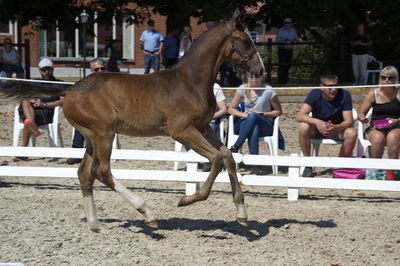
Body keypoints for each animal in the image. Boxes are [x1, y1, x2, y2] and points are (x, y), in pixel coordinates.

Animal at [1, 9, 264, 232]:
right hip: (104, 134)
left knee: (85, 174)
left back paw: (96, 224)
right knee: (101, 171)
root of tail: (69, 91)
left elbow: (228, 156)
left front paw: (242, 212)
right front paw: (187, 199)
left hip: (92, 138)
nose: (260, 70)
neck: (191, 81)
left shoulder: (202, 127)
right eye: (245, 41)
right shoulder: (181, 131)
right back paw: (146, 212)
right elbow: (217, 159)